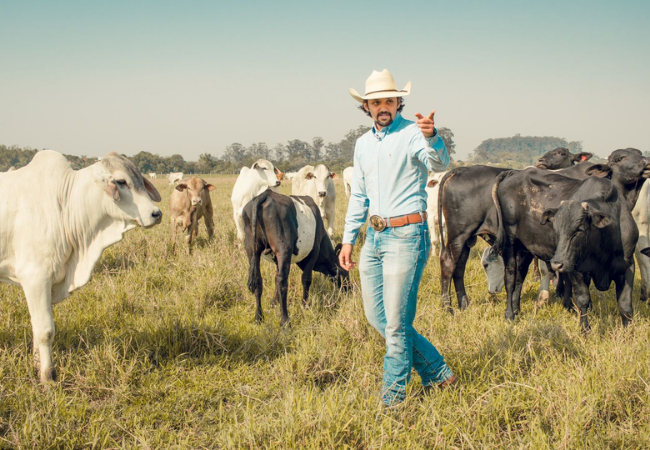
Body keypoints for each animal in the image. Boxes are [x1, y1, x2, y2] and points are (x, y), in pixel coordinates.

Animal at [0, 149, 162, 382]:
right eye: (121, 181)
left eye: (140, 179)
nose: (156, 213)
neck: (64, 204)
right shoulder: (35, 277)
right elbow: (45, 330)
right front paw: (48, 377)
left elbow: (36, 327)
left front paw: (37, 365)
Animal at [240, 188, 346, 326]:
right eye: (345, 273)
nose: (350, 289)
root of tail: (266, 195)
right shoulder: (315, 250)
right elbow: (306, 279)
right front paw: (304, 305)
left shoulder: (276, 259)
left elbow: (275, 278)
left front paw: (274, 302)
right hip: (283, 248)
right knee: (282, 281)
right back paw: (285, 321)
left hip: (252, 249)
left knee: (259, 280)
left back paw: (258, 317)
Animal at [492, 149, 648, 328]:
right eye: (620, 158)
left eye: (580, 229)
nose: (646, 162)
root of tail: (513, 173)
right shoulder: (575, 268)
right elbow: (582, 298)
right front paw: (582, 323)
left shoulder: (627, 266)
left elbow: (625, 304)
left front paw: (628, 329)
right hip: (510, 243)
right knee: (510, 278)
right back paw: (510, 314)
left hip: (525, 248)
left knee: (520, 277)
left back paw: (517, 310)